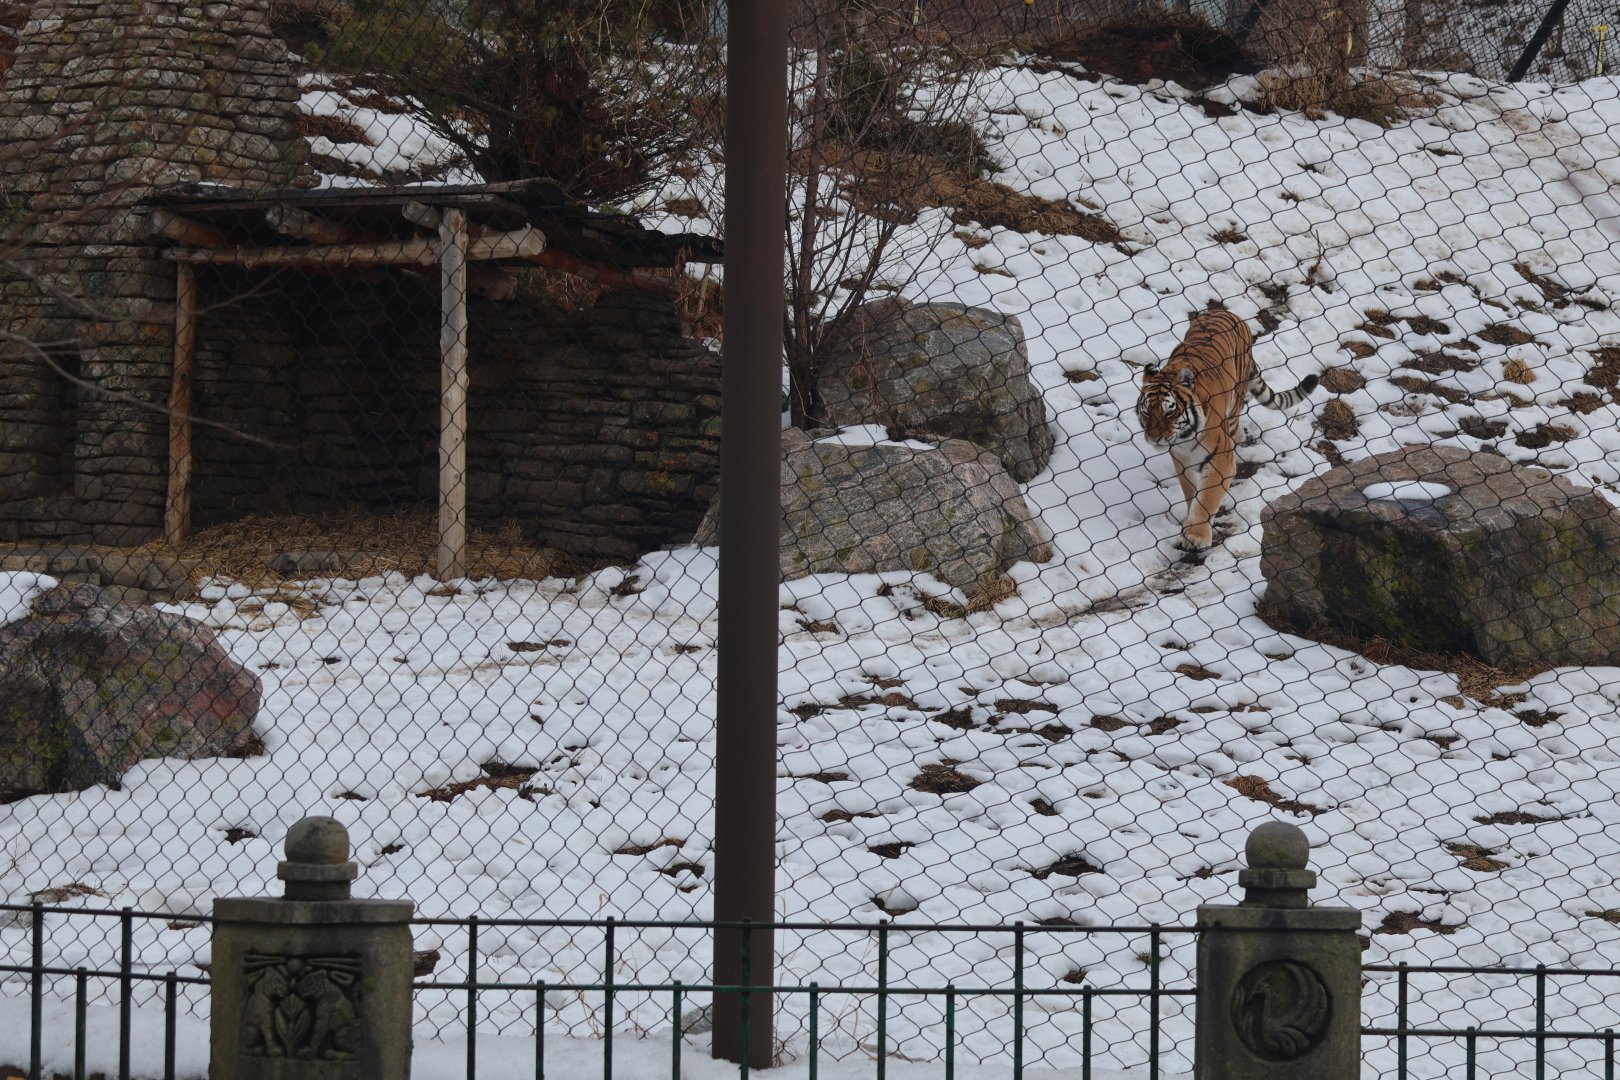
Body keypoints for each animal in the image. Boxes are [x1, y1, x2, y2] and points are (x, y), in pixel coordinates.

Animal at [1135, 310, 1319, 551]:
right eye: (1147, 412)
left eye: (1169, 412)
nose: (1155, 438)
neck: (1184, 438)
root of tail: (1225, 312)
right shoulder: (1181, 460)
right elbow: (1191, 492)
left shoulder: (1220, 458)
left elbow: (1208, 496)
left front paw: (1196, 535)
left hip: (1234, 406)